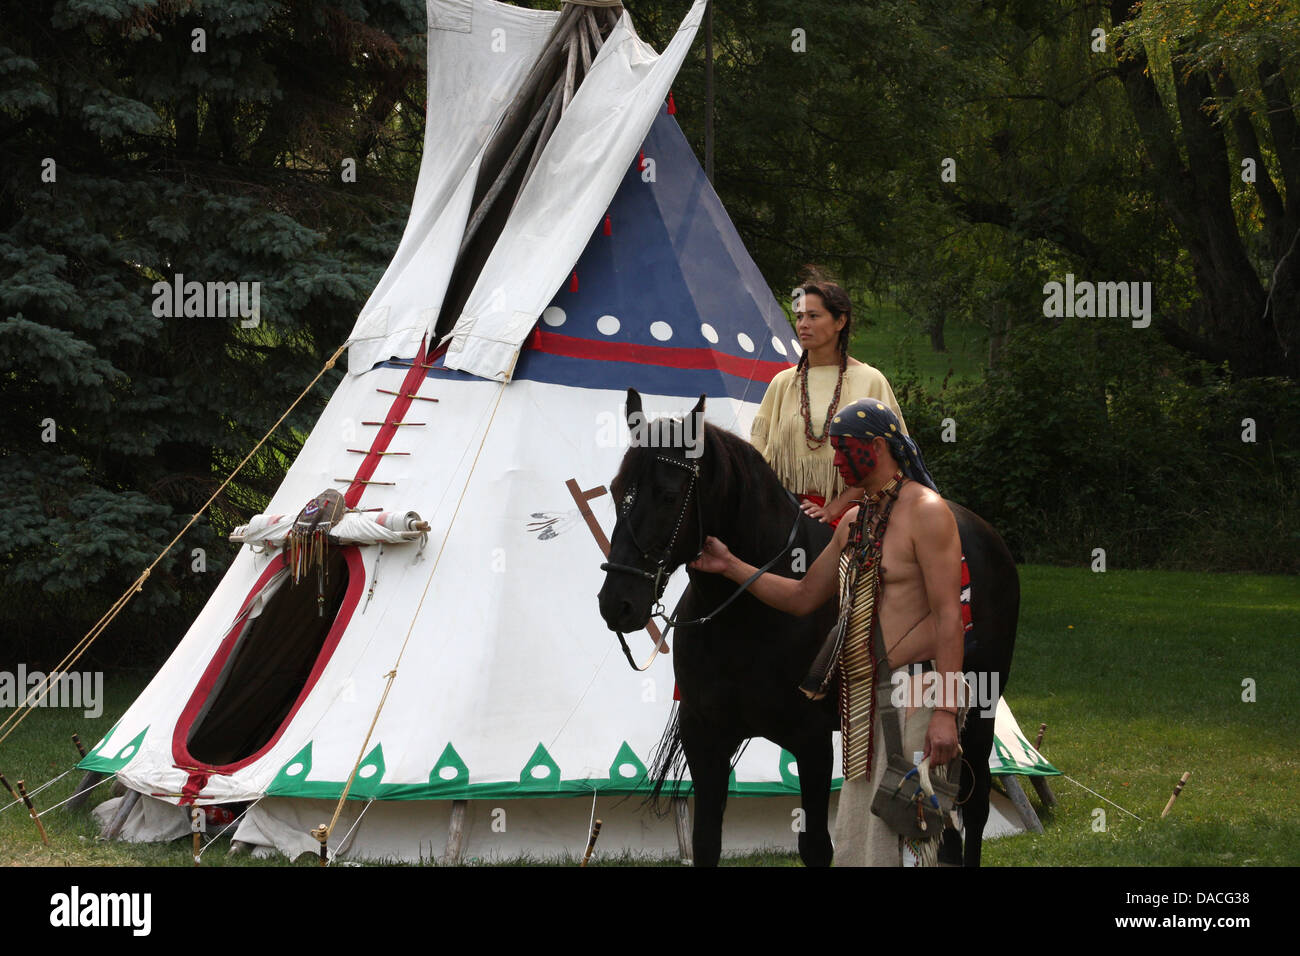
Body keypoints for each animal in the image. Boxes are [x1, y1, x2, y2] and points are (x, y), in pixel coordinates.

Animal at [595, 390, 1013, 868]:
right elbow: (705, 842)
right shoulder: (706, 737)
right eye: (616, 491)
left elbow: (815, 846)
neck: (747, 620)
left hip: (978, 713)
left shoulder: (811, 743)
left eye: (667, 495)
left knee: (973, 807)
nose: (617, 603)